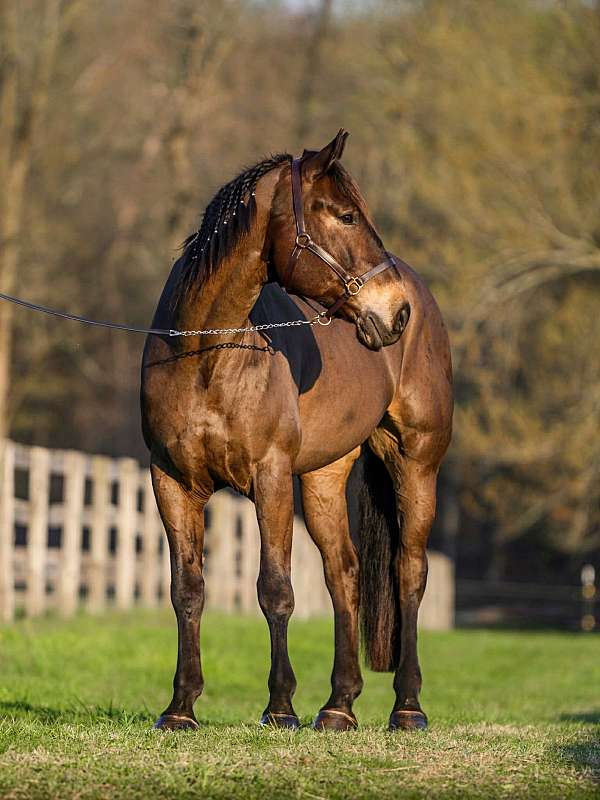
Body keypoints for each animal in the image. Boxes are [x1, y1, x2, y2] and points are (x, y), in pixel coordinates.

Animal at [141, 130, 453, 732]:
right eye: (346, 215)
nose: (395, 312)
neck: (206, 356)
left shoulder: (271, 477)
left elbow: (275, 589)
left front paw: (280, 706)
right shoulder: (171, 482)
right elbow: (187, 591)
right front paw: (181, 708)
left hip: (415, 463)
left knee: (409, 571)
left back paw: (407, 706)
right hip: (324, 479)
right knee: (344, 574)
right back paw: (338, 707)